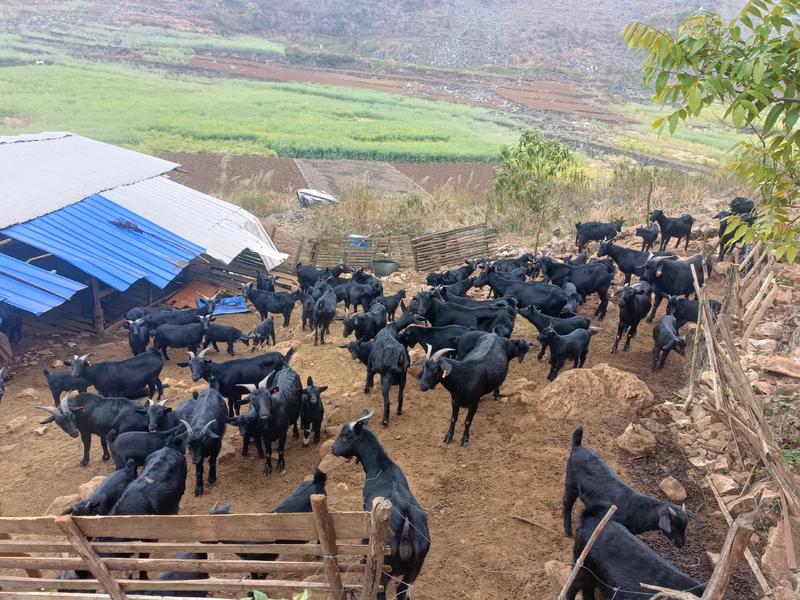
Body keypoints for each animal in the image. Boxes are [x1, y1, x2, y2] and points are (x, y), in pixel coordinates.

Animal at [332, 412, 432, 600]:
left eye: (345, 436)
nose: (332, 449)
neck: (381, 466)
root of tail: (406, 529)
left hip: (384, 570)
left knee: (380, 590)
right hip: (414, 570)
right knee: (402, 591)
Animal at [564, 426, 692, 548]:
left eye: (685, 527)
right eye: (673, 525)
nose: (681, 544)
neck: (639, 510)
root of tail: (578, 447)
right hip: (571, 483)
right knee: (567, 503)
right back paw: (568, 531)